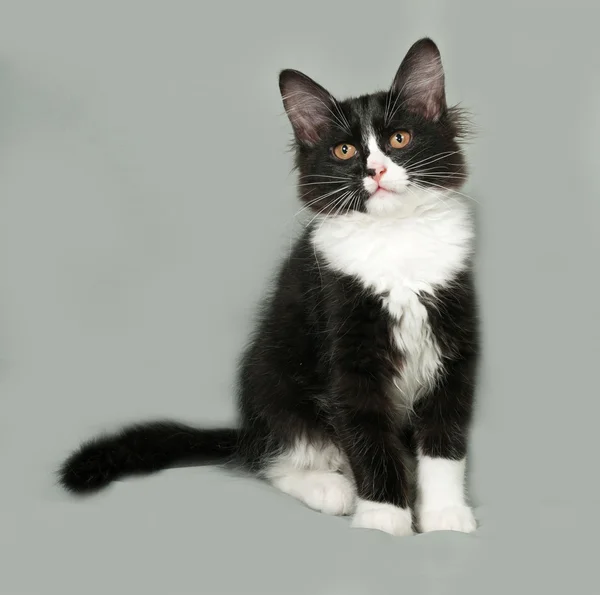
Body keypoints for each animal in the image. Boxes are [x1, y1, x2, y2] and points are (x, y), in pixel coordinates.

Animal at [57, 39, 478, 536]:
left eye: (399, 140)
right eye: (343, 150)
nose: (374, 171)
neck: (396, 242)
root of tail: (249, 430)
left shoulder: (454, 346)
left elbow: (445, 444)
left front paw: (444, 516)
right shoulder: (346, 356)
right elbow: (369, 441)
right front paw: (382, 519)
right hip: (275, 381)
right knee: (270, 460)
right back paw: (331, 488)